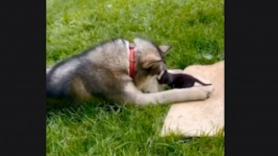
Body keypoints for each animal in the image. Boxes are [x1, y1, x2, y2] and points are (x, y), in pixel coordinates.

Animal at [46, 38, 214, 106]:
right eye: (157, 76)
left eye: (162, 75)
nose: (166, 83)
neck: (126, 62)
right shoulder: (137, 100)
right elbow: (168, 95)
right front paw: (199, 91)